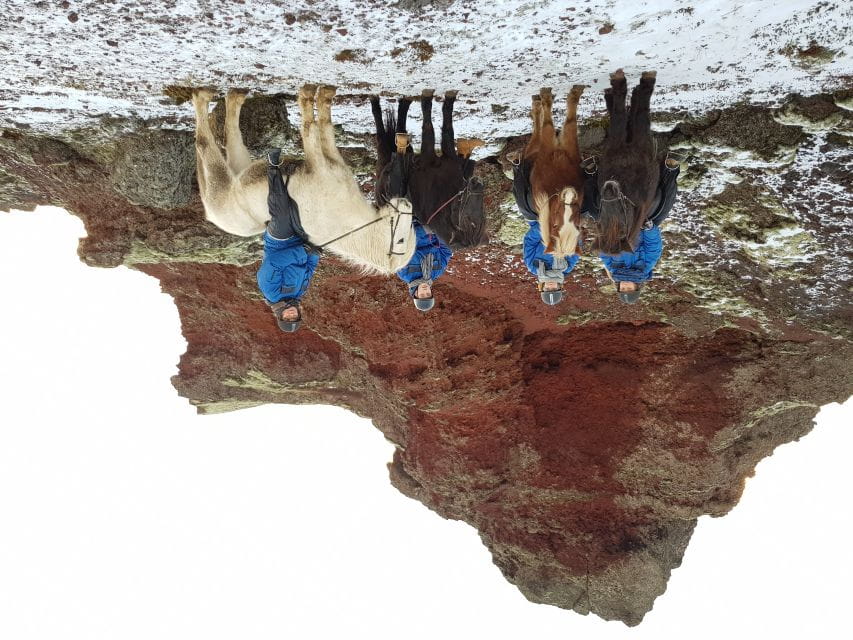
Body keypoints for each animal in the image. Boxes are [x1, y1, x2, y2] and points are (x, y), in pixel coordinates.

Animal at [191, 84, 416, 275]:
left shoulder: (321, 165)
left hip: (225, 189)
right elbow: (323, 127)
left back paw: (210, 98)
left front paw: (309, 97)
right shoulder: (329, 160)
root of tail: (211, 216)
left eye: (401, 239)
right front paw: (323, 96)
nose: (407, 202)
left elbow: (310, 129)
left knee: (206, 145)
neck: (354, 227)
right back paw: (230, 98)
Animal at [370, 89, 488, 250]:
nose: (477, 182)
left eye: (471, 222)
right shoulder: (442, 158)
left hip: (386, 156)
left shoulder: (432, 157)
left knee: (385, 131)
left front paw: (433, 97)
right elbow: (442, 128)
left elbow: (433, 127)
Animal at [516, 85, 586, 256]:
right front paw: (549, 98)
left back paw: (537, 105)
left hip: (535, 149)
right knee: (538, 130)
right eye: (555, 223)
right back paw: (538, 104)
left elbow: (567, 120)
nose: (569, 195)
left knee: (537, 132)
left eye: (576, 221)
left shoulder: (568, 147)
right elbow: (555, 122)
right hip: (537, 148)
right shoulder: (554, 145)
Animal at [593, 70, 660, 255]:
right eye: (605, 212)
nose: (610, 186)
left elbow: (625, 116)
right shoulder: (635, 142)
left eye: (622, 221)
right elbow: (625, 116)